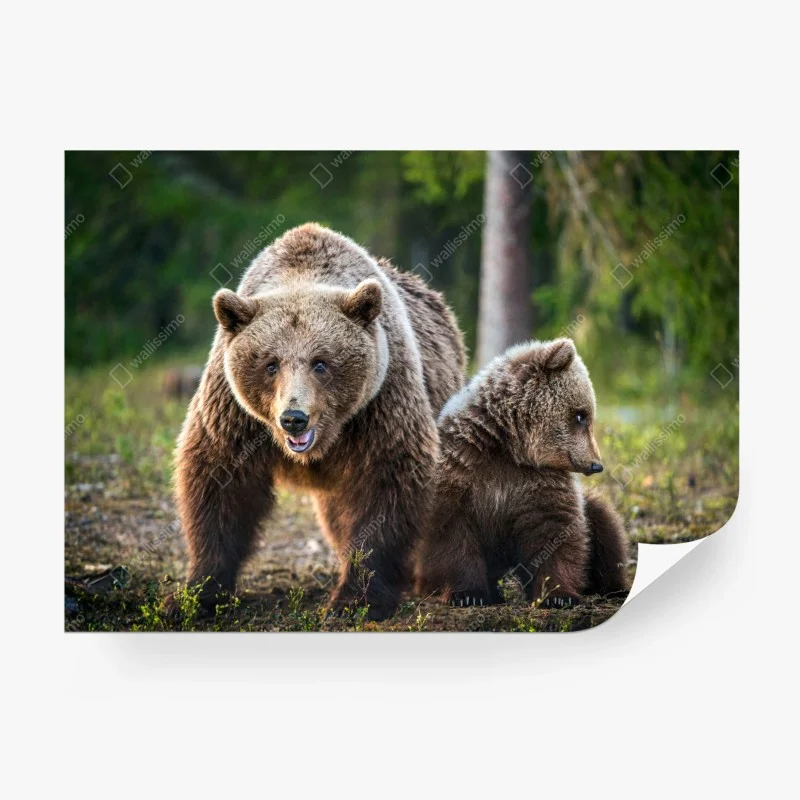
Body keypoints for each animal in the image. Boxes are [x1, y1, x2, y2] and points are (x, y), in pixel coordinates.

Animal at [174, 223, 466, 620]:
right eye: (270, 363)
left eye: (321, 362)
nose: (293, 418)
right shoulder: (233, 413)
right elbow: (219, 483)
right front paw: (197, 593)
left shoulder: (381, 402)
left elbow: (387, 483)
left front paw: (355, 598)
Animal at [414, 338, 628, 608]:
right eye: (581, 415)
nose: (596, 464)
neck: (510, 446)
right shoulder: (461, 467)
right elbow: (451, 532)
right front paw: (467, 595)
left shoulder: (540, 480)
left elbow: (555, 529)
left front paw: (557, 595)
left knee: (604, 523)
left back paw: (611, 587)